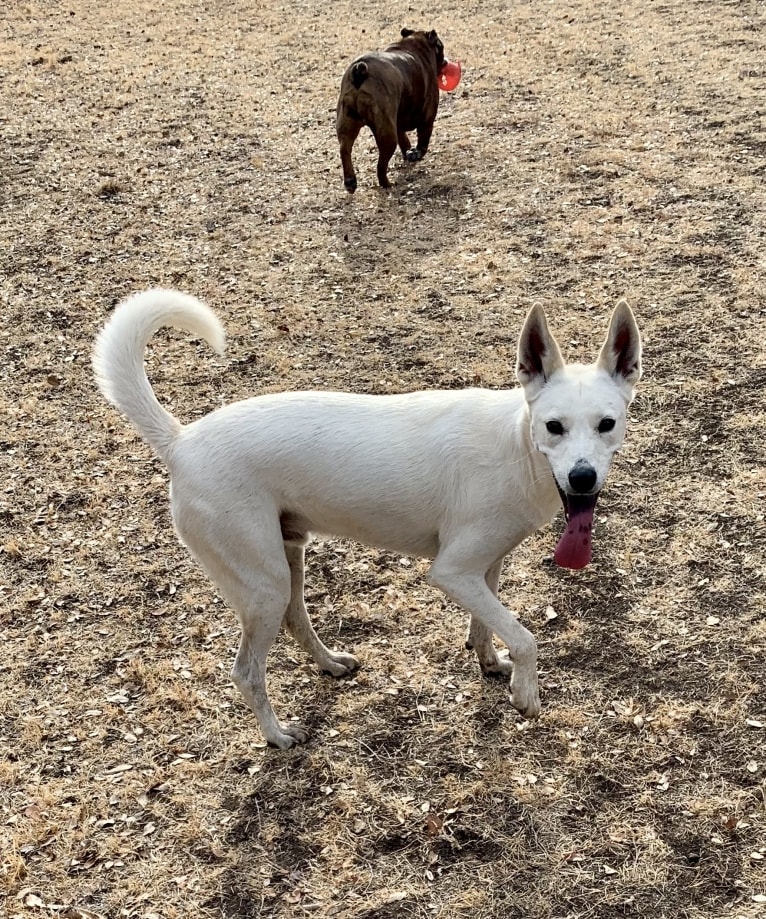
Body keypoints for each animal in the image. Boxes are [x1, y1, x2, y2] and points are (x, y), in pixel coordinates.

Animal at [94, 292, 640, 752]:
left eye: (606, 425)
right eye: (554, 427)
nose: (583, 477)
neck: (517, 445)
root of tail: (180, 442)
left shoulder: (485, 566)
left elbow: (488, 625)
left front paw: (489, 663)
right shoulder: (452, 572)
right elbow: (525, 636)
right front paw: (525, 693)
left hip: (287, 558)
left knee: (296, 620)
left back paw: (332, 664)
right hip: (262, 583)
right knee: (246, 672)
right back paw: (277, 736)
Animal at [338, 28, 450, 192]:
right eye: (440, 47)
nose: (445, 61)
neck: (413, 46)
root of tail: (359, 71)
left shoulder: (398, 124)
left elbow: (404, 140)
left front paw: (409, 153)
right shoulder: (427, 120)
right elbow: (423, 143)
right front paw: (416, 153)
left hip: (347, 123)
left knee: (344, 149)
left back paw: (350, 181)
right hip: (387, 136)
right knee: (381, 165)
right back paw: (386, 183)